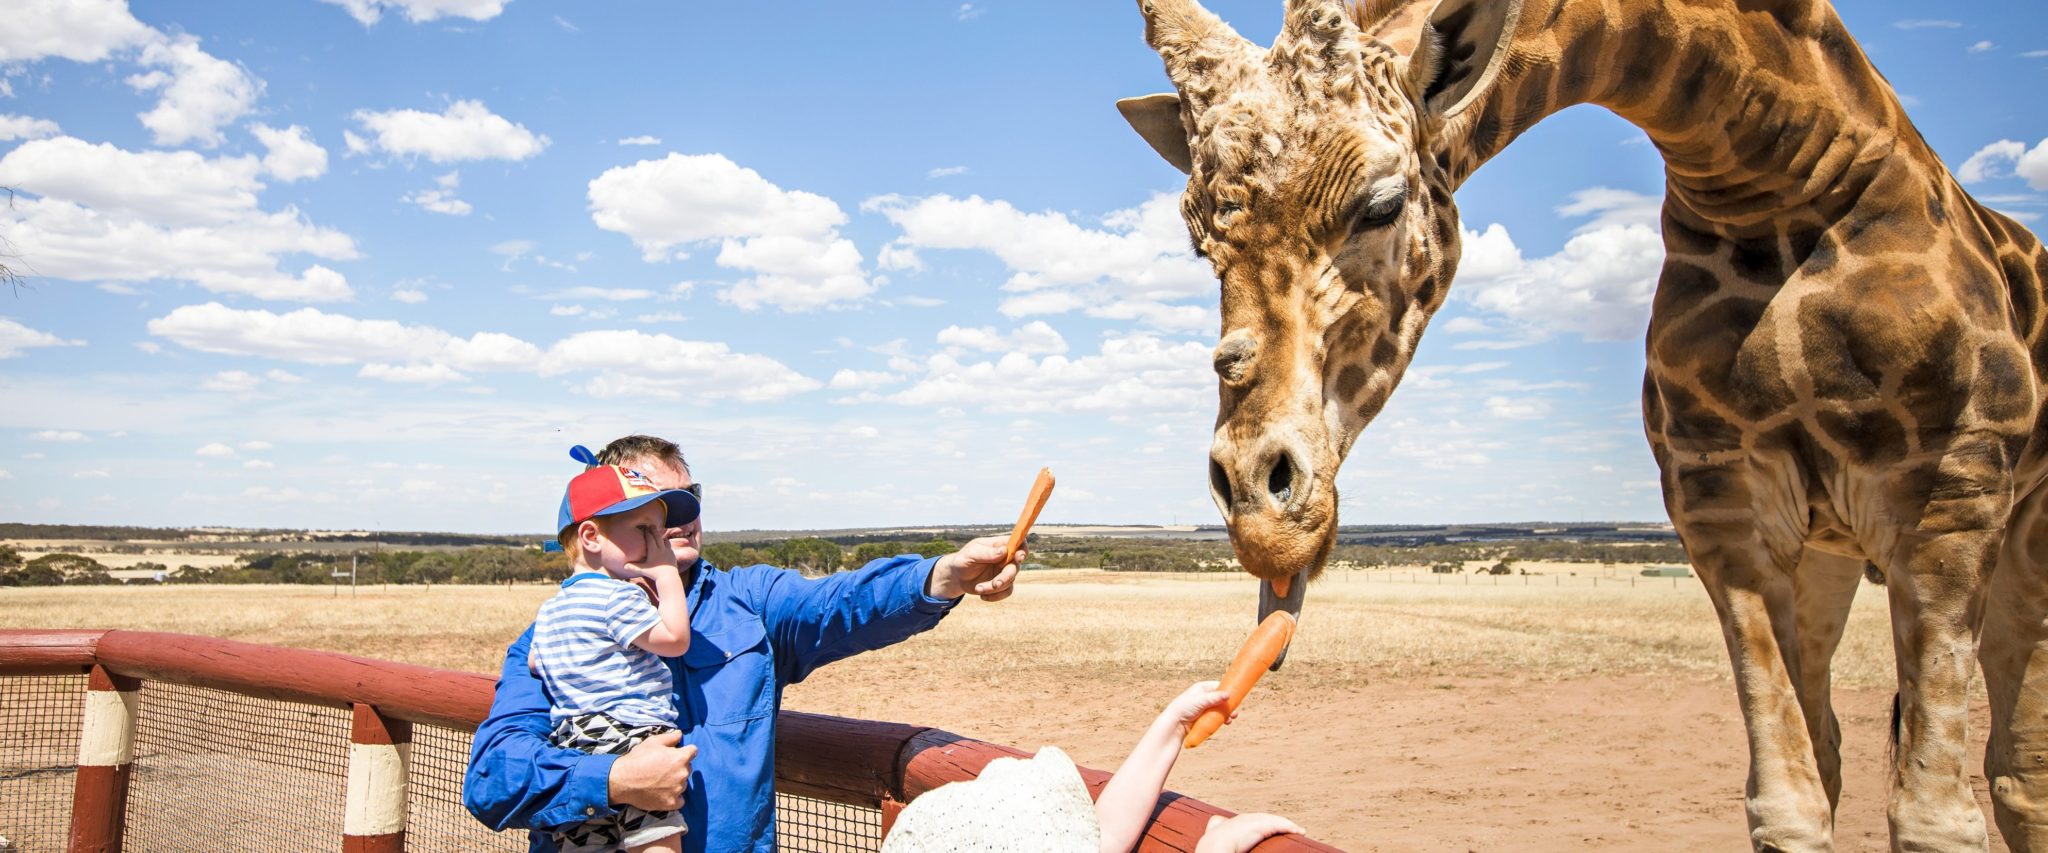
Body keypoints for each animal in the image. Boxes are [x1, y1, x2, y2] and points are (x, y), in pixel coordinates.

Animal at [1122, 0, 2048, 842]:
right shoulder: (1721, 505)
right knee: (1843, 748)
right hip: (1828, 551)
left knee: (2016, 771)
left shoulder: (1950, 498)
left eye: (1381, 204)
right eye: (1200, 237)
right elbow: (1787, 799)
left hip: (2017, 542)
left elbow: (1936, 816)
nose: (1259, 507)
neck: (1773, 180)